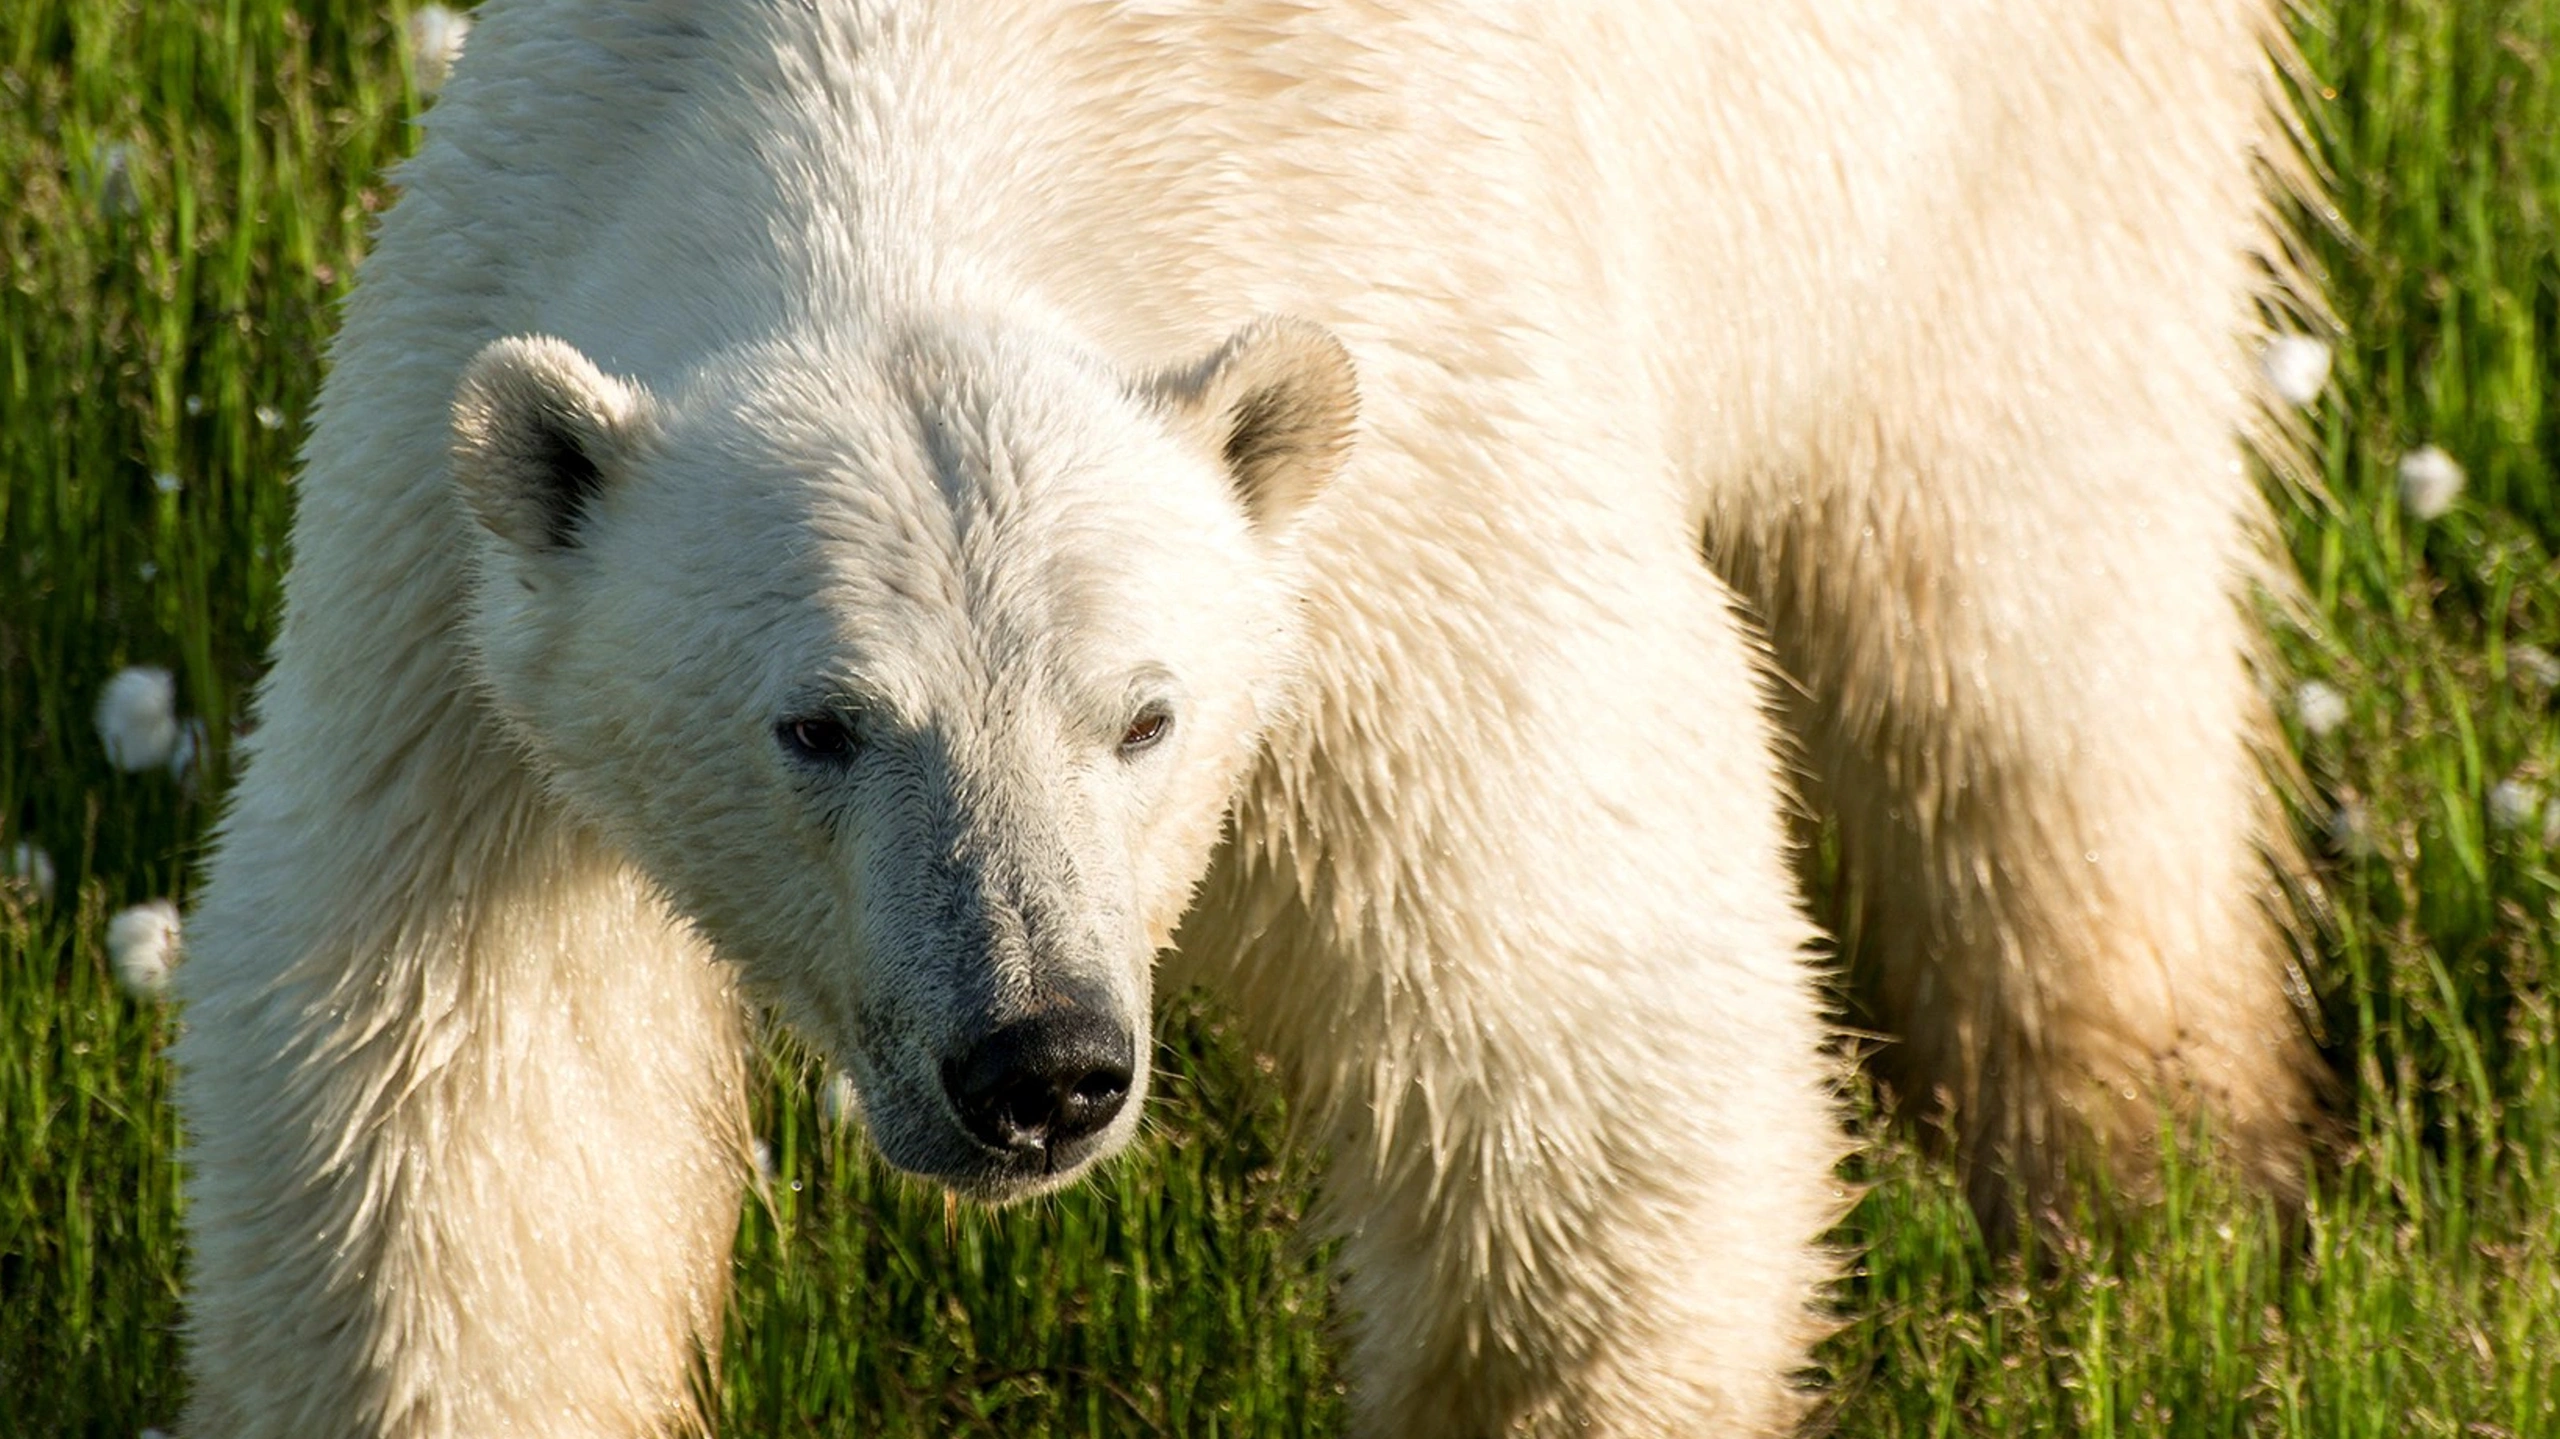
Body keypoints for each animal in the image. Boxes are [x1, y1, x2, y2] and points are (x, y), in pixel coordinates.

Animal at [175, 2, 2324, 1433]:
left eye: (1145, 712)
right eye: (824, 725)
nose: (1038, 1060)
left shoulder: (1417, 473)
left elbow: (1582, 1037)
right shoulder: (446, 539)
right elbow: (450, 1095)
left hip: (1996, 135)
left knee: (2030, 582)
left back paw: (2154, 1156)